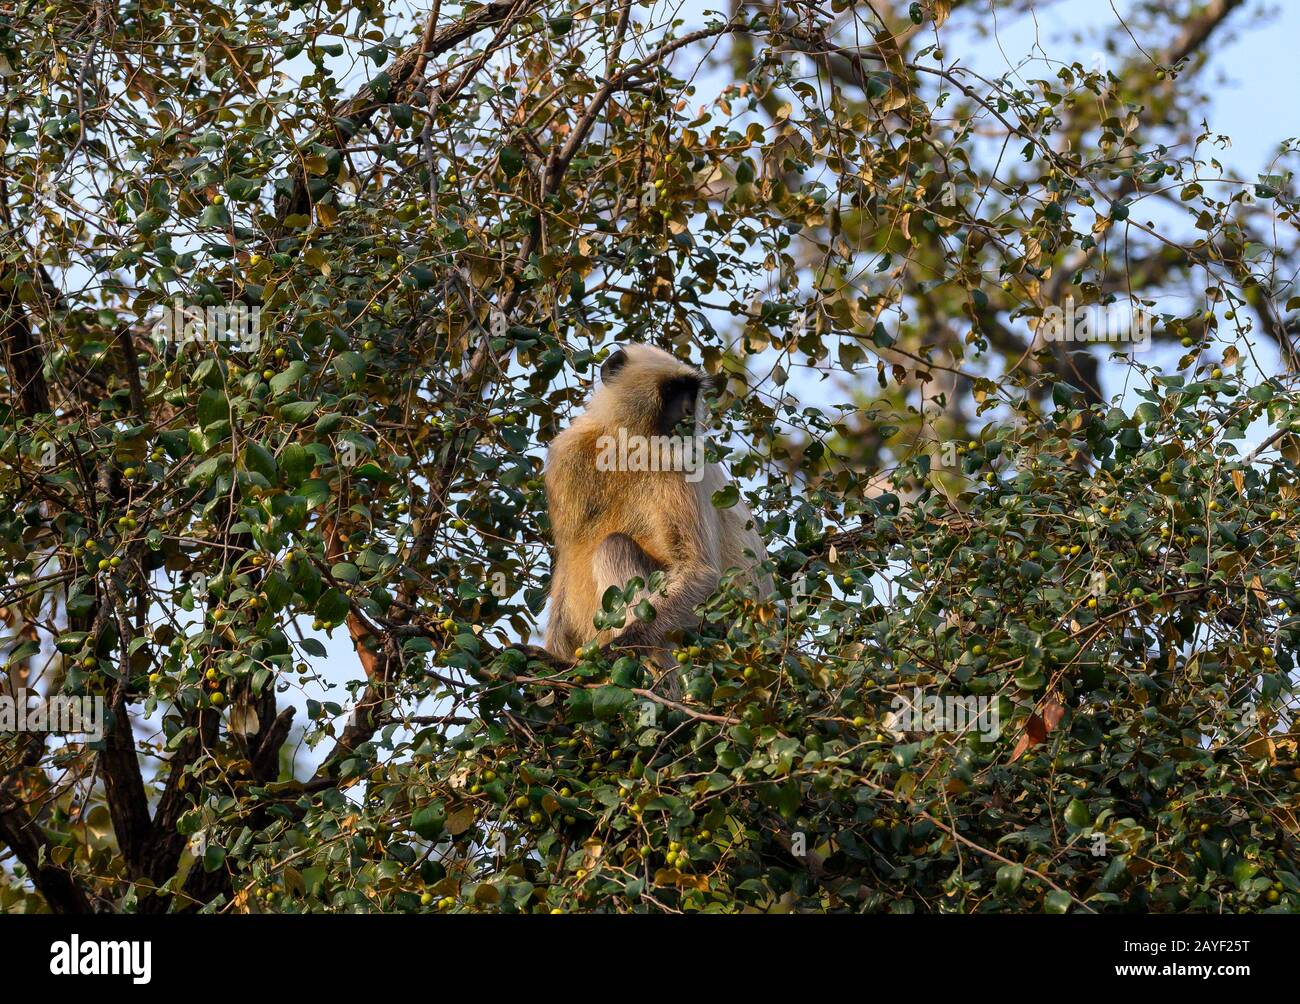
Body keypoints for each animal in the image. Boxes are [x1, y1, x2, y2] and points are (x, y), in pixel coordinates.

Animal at [540, 340, 764, 676]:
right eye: (672, 390)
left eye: (690, 391)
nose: (688, 412)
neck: (626, 446)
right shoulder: (567, 455)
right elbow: (566, 560)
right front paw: (553, 658)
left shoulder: (679, 462)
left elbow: (702, 574)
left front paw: (610, 654)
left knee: (614, 546)